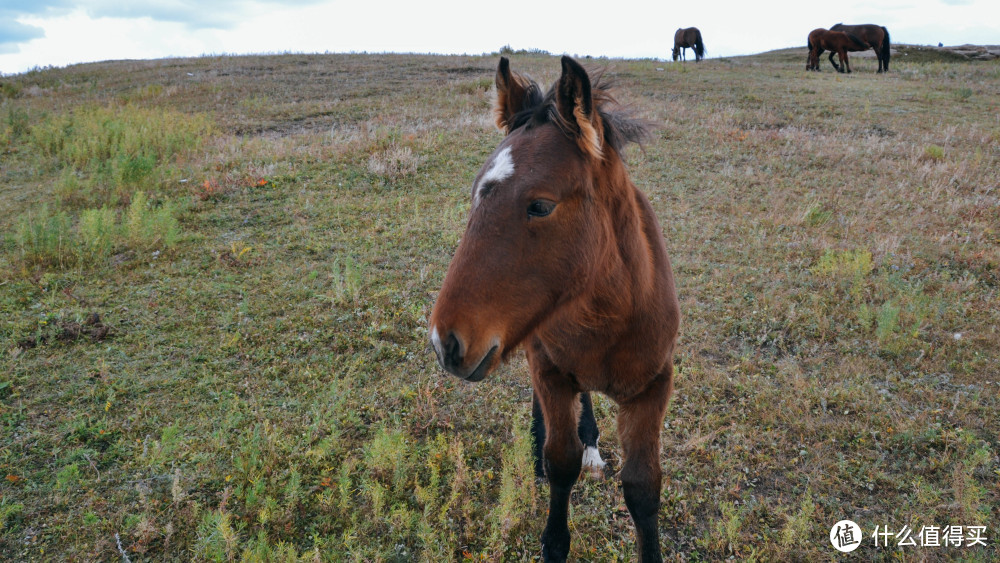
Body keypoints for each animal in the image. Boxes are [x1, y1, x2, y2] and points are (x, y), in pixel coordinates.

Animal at [430, 57, 680, 563]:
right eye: (475, 194)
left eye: (541, 205)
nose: (445, 342)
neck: (611, 320)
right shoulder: (549, 368)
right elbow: (561, 462)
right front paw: (553, 537)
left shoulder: (654, 387)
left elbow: (643, 488)